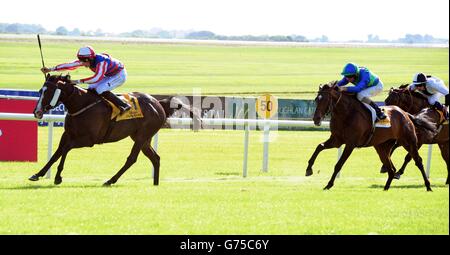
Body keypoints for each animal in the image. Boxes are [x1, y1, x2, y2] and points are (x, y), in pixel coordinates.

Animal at [31, 74, 200, 186]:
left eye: (49, 91)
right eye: (40, 90)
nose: (37, 112)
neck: (81, 104)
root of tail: (159, 103)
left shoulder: (89, 140)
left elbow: (65, 149)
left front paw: (58, 177)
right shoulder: (68, 134)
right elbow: (57, 153)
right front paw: (38, 174)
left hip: (142, 136)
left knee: (132, 159)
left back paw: (110, 180)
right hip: (143, 138)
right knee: (155, 158)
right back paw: (155, 184)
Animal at [306, 80, 436, 190]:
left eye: (325, 100)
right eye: (316, 99)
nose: (316, 119)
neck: (346, 114)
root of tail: (405, 114)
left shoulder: (350, 144)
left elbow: (339, 164)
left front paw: (329, 184)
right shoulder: (337, 140)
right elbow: (319, 146)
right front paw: (309, 169)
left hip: (409, 141)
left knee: (417, 161)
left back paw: (428, 186)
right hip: (382, 147)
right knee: (391, 169)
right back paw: (385, 188)